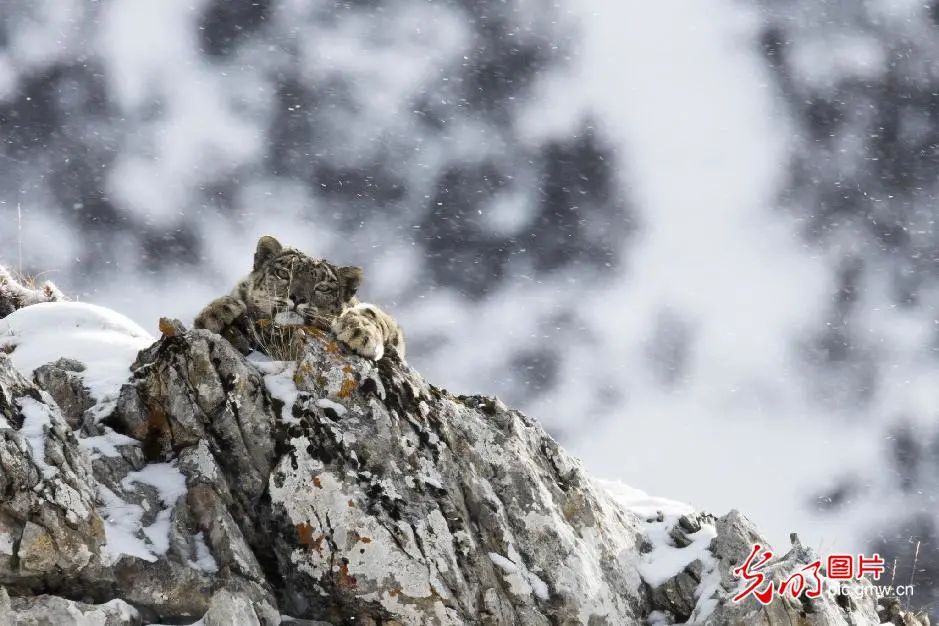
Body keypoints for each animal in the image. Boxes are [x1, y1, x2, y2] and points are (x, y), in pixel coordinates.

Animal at [195, 235, 404, 360]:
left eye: (323, 287)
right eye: (283, 273)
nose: (297, 297)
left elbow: (373, 313)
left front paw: (360, 333)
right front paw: (216, 312)